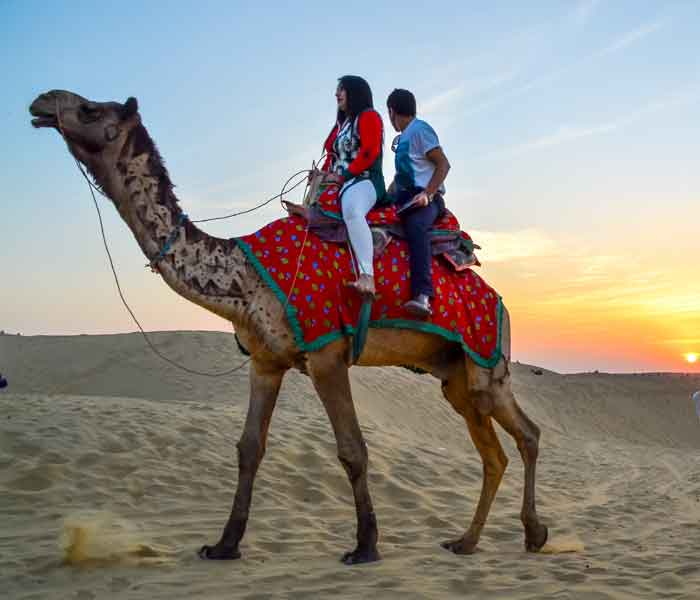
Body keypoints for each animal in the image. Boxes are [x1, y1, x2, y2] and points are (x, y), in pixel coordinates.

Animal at [29, 90, 548, 564]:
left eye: (91, 109)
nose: (41, 101)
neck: (244, 276)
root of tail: (499, 301)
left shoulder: (326, 354)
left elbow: (352, 449)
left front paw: (365, 546)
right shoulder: (265, 361)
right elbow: (248, 448)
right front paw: (224, 545)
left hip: (487, 361)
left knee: (527, 434)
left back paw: (533, 533)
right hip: (454, 373)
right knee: (494, 452)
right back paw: (467, 541)